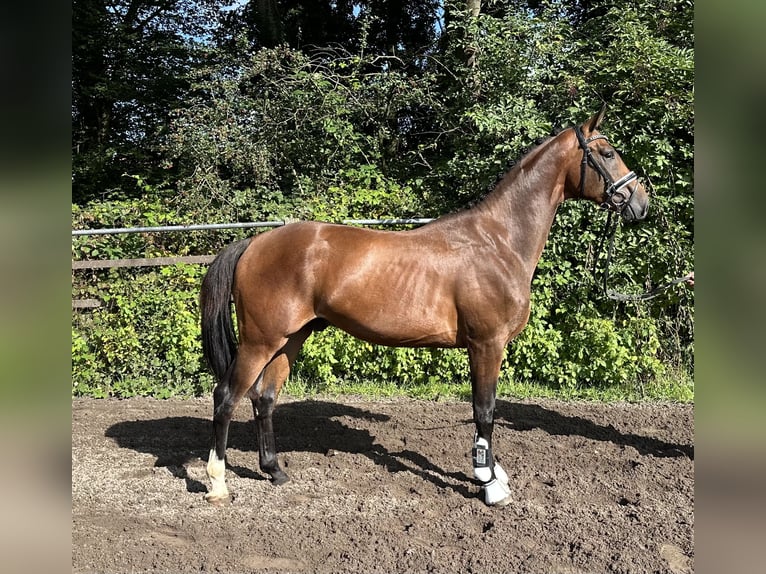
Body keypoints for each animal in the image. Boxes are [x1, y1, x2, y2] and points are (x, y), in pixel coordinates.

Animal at [198, 106, 648, 506]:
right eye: (607, 152)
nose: (640, 202)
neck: (498, 241)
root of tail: (253, 243)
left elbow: (488, 410)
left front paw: (494, 473)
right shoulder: (486, 344)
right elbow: (484, 410)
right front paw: (489, 483)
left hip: (290, 338)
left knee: (264, 398)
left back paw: (274, 470)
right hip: (260, 341)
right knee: (226, 397)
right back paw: (218, 484)